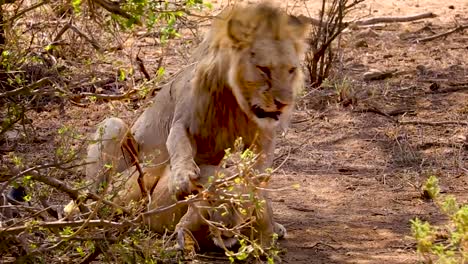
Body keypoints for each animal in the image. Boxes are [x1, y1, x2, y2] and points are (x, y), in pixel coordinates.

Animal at [82, 2, 308, 244]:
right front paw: (182, 180)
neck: (236, 100)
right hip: (115, 130)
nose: (284, 103)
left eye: (291, 70)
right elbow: (180, 147)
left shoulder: (263, 137)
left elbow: (259, 170)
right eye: (264, 69)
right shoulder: (184, 121)